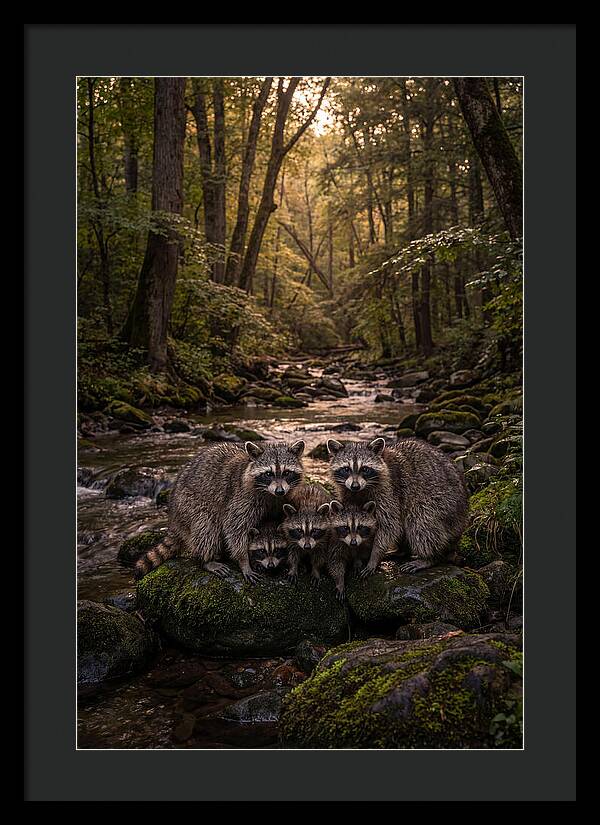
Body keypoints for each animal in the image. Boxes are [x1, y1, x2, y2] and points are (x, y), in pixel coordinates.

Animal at [134, 440, 305, 583]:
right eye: (268, 474)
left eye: (287, 472)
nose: (280, 491)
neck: (270, 494)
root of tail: (173, 518)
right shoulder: (241, 498)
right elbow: (235, 529)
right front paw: (244, 561)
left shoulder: (283, 499)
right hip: (188, 504)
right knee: (206, 527)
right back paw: (206, 560)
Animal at [327, 436, 468, 576]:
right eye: (346, 469)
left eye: (365, 469)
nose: (355, 486)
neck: (361, 490)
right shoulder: (347, 492)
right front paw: (358, 554)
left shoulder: (389, 490)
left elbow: (389, 525)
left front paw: (374, 556)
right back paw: (402, 550)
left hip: (443, 503)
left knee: (421, 521)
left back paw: (429, 557)